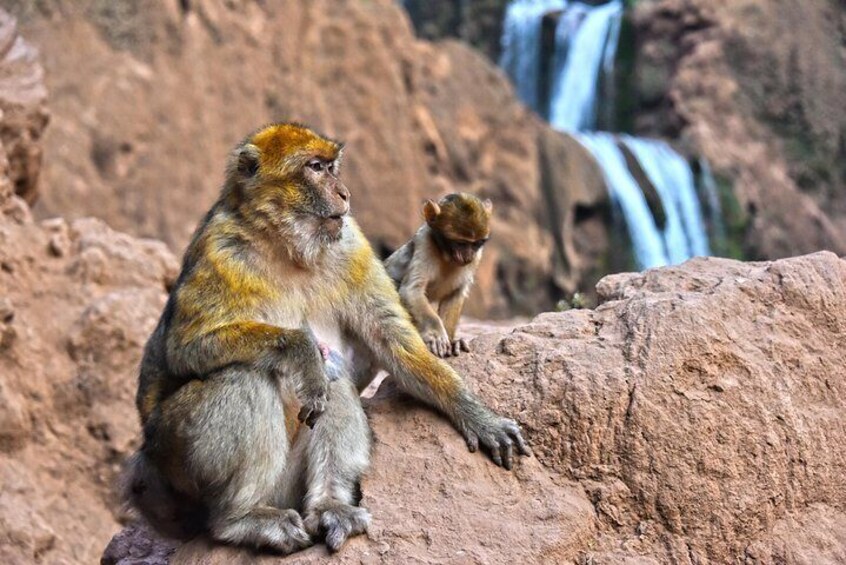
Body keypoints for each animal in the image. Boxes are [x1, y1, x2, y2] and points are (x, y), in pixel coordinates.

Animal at [388, 192, 494, 354]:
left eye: (477, 243)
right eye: (461, 243)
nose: (468, 257)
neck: (446, 255)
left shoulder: (477, 257)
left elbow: (456, 294)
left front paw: (452, 342)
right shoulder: (425, 242)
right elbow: (411, 290)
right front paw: (435, 334)